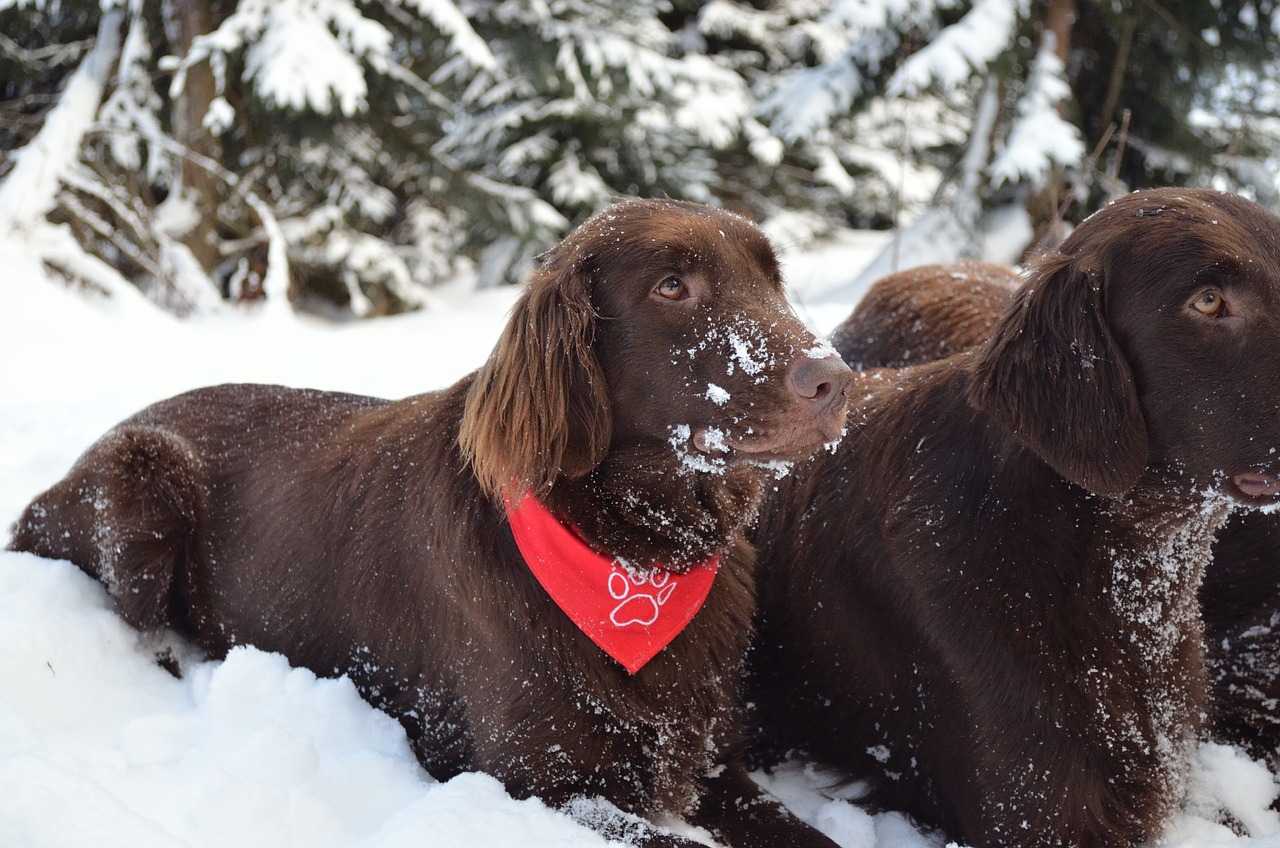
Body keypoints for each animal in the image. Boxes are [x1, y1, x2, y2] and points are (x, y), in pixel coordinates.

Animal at [12, 201, 849, 848]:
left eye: (771, 280)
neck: (630, 553)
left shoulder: (709, 757)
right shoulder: (535, 780)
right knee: (142, 629)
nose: (836, 380)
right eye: (673, 285)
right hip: (141, 474)